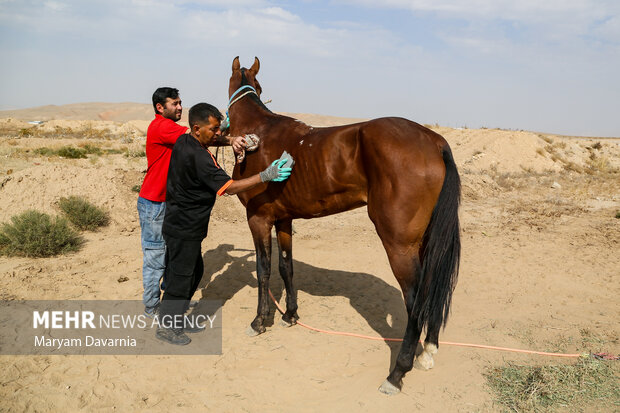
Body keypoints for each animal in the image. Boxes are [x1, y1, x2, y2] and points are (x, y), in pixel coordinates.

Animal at [225, 55, 458, 392]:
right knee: (431, 287)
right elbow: (286, 266)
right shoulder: (284, 219)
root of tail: (434, 140)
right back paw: (428, 351)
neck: (259, 133)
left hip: (399, 245)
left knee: (415, 300)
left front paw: (259, 321)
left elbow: (263, 270)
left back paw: (397, 372)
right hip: (426, 241)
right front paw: (290, 315)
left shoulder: (258, 219)